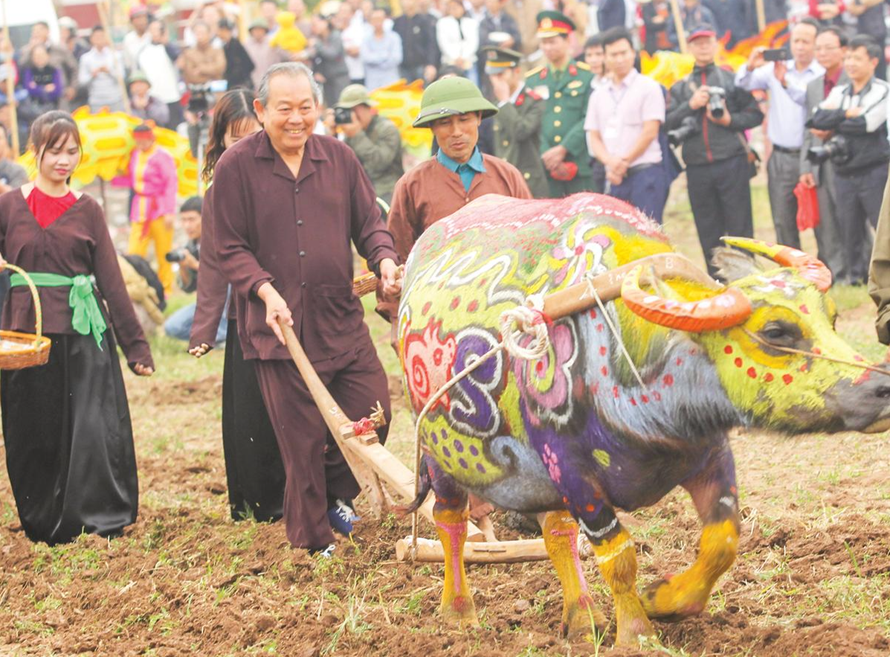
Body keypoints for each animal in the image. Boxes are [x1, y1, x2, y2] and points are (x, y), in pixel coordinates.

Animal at [398, 193, 888, 644]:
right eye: (775, 331)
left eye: (832, 319)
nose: (879, 388)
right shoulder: (575, 474)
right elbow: (620, 559)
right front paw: (637, 634)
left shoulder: (708, 455)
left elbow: (723, 541)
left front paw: (664, 601)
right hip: (445, 463)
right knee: (451, 521)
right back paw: (459, 614)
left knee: (557, 533)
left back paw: (584, 617)